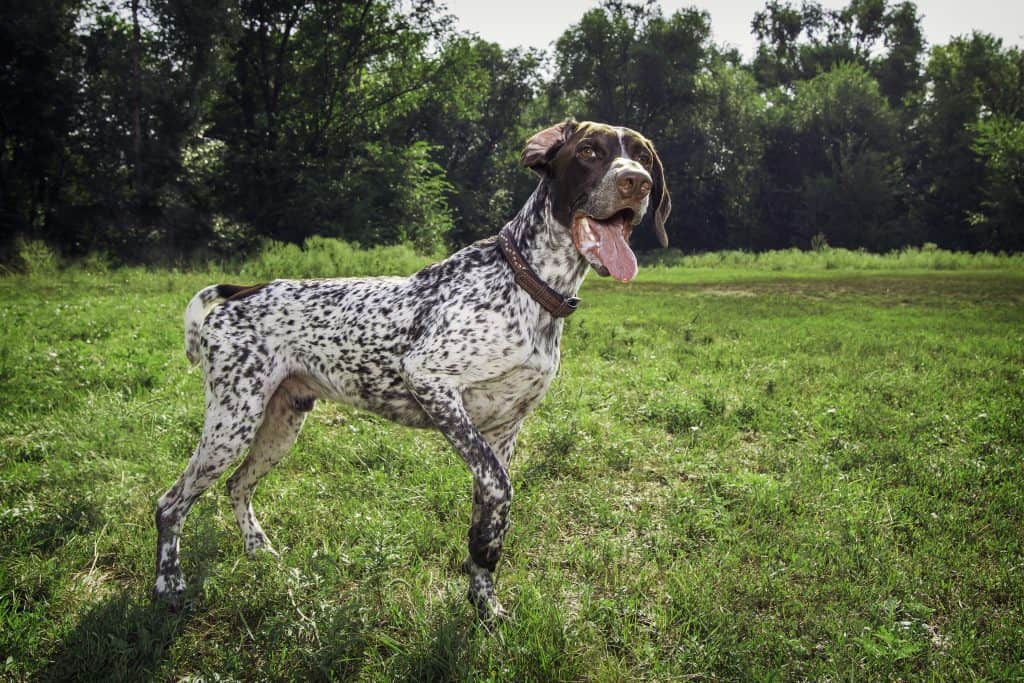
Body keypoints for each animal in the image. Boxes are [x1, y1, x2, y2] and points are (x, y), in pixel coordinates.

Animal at [151, 120, 667, 622]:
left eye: (643, 156)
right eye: (588, 151)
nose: (636, 183)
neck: (527, 283)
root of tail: (244, 289)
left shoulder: (503, 431)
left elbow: (486, 525)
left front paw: (484, 602)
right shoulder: (432, 383)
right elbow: (500, 491)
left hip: (280, 424)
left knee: (237, 485)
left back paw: (259, 550)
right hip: (231, 424)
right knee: (170, 505)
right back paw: (168, 584)